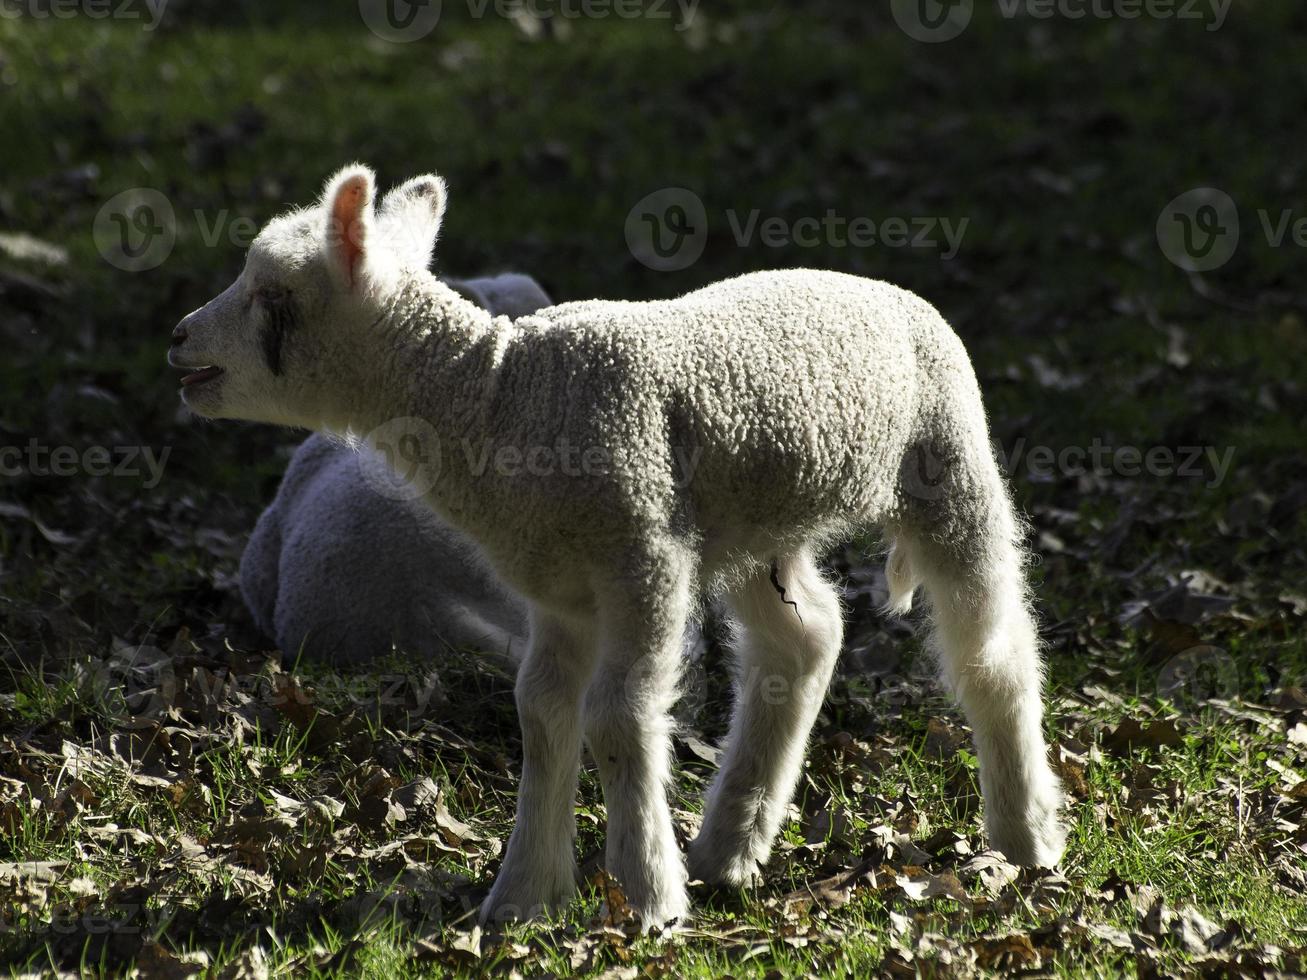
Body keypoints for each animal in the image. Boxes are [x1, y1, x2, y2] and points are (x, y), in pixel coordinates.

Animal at [165, 165, 1061, 930]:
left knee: (991, 652)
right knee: (803, 640)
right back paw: (729, 846)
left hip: (945, 462)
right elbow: (541, 713)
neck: (496, 394)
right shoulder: (556, 586)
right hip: (747, 524)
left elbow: (617, 719)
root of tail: (887, 290)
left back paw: (1025, 836)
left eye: (271, 294)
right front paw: (524, 896)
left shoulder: (641, 557)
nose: (177, 337)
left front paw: (645, 896)